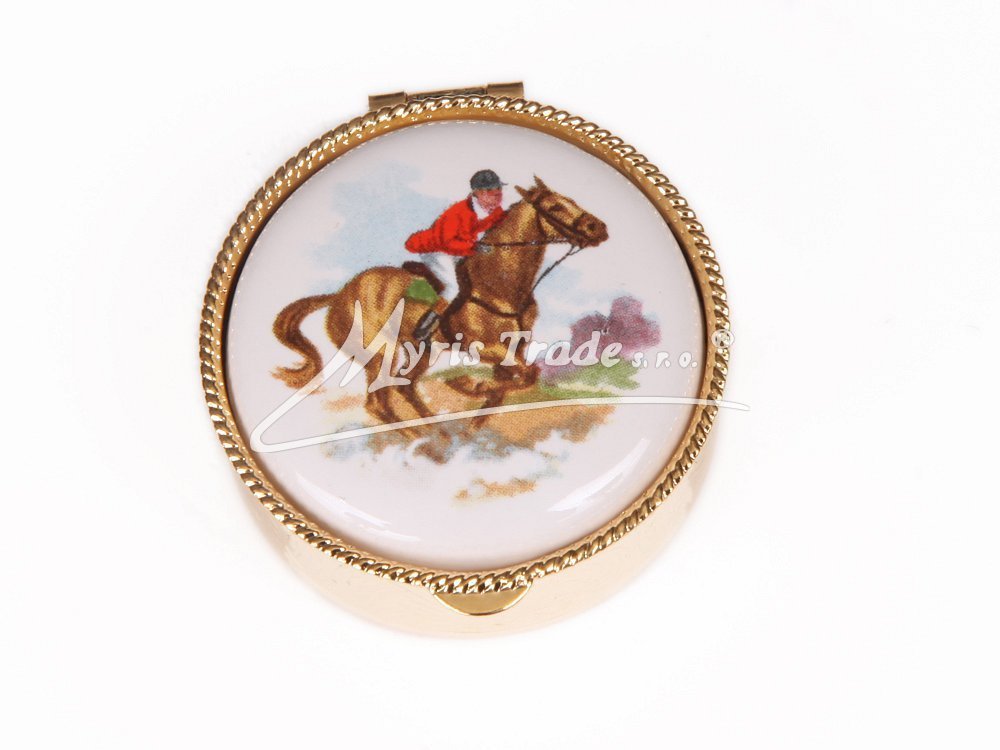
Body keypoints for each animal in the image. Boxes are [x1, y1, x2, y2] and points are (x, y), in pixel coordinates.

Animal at [271, 176, 609, 433]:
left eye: (571, 198)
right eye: (554, 207)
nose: (599, 228)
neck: (501, 285)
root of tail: (339, 295)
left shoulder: (514, 349)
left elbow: (512, 385)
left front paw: (474, 420)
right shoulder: (484, 347)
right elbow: (526, 376)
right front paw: (467, 385)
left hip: (419, 350)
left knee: (405, 387)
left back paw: (437, 431)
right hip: (378, 353)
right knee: (378, 402)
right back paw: (420, 440)